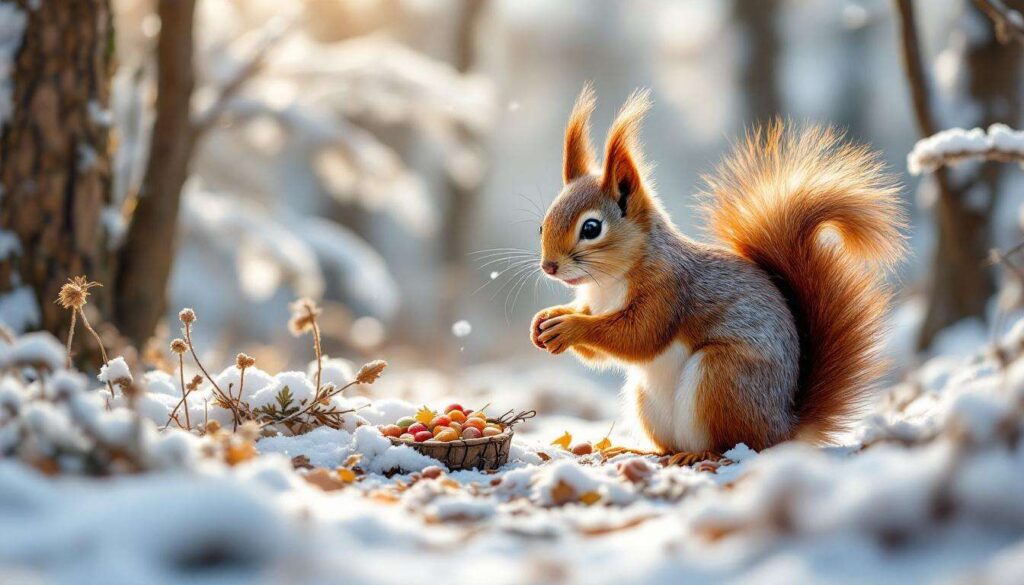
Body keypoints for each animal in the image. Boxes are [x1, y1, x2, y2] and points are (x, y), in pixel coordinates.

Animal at [531, 85, 906, 455]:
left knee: (729, 443)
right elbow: (598, 346)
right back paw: (645, 452)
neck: (607, 283)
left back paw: (697, 455)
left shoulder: (669, 290)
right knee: (671, 445)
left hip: (721, 377)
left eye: (591, 228)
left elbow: (639, 336)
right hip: (647, 398)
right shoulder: (597, 301)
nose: (549, 266)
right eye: (542, 225)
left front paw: (572, 327)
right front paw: (548, 318)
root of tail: (784, 429)